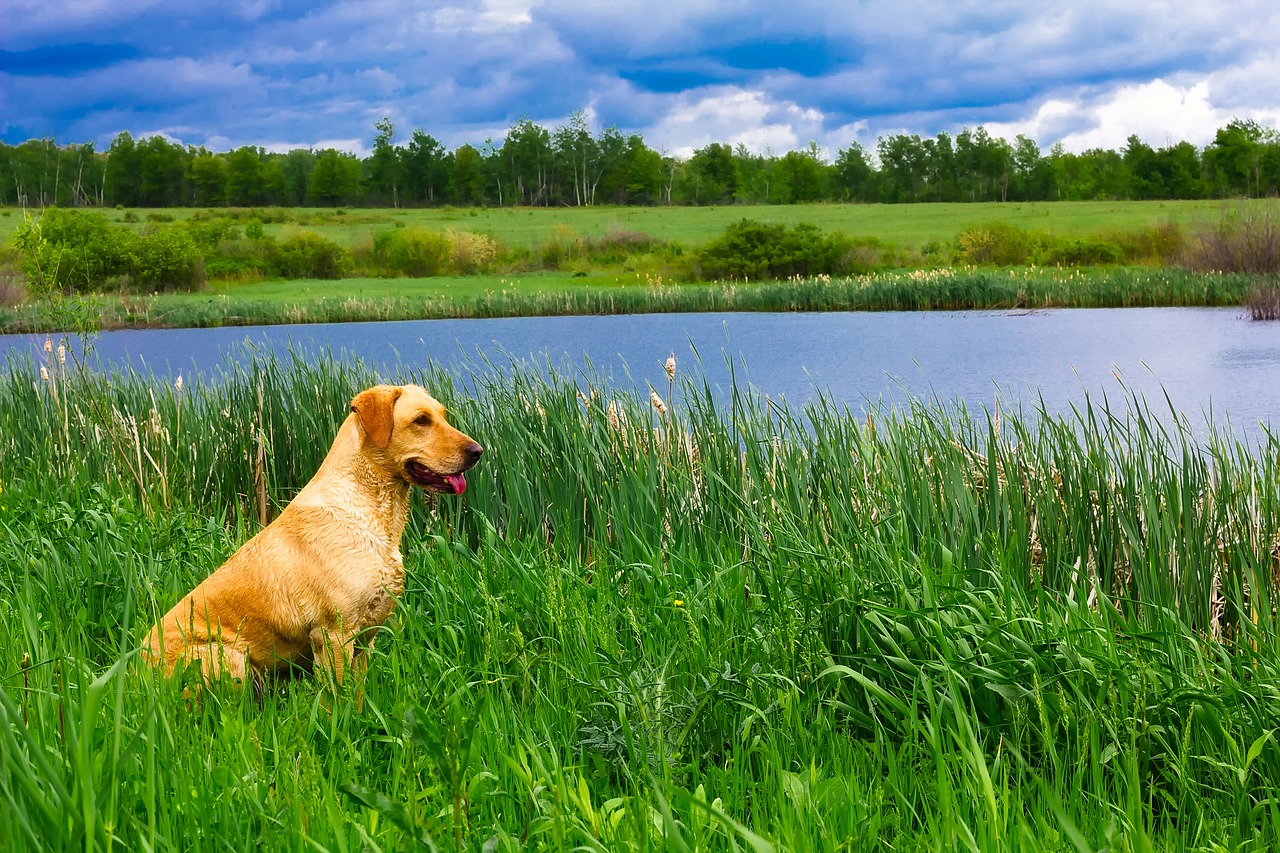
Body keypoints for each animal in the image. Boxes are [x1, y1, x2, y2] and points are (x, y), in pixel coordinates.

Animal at [145, 381, 481, 686]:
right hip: (227, 657)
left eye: (443, 416)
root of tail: (138, 670)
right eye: (421, 421)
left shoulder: (366, 636)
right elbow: (340, 698)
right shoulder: (334, 634)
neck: (370, 511)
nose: (478, 451)